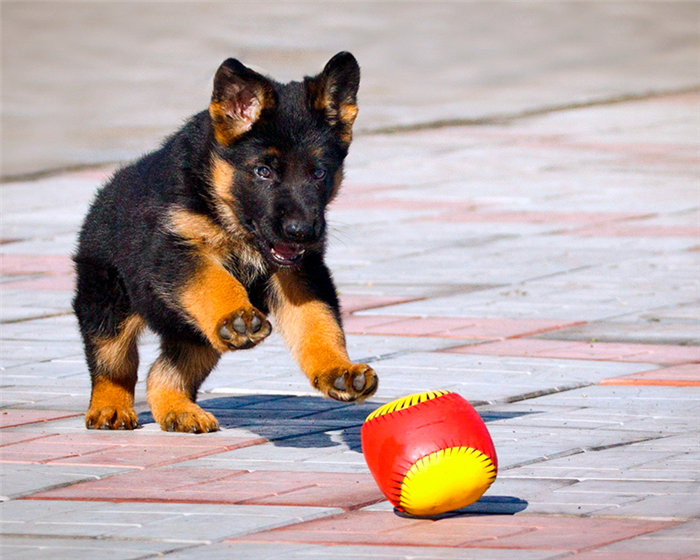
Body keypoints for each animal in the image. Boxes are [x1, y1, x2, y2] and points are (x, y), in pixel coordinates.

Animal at [72, 52, 378, 434]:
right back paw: (110, 407)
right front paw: (237, 317)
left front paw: (337, 370)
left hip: (194, 334)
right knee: (113, 364)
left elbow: (317, 321)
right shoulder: (176, 252)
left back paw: (180, 410)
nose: (301, 232)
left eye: (319, 173)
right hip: (108, 302)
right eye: (263, 172)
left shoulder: (300, 270)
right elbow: (215, 280)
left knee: (162, 372)